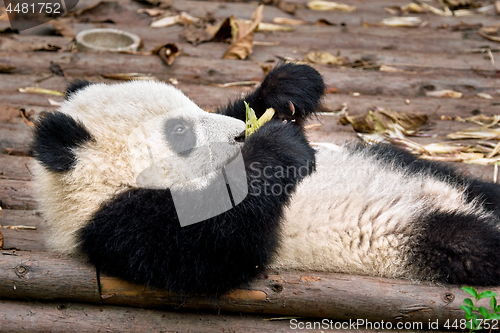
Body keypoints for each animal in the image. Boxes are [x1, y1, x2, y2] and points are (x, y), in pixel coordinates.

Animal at [32, 63, 500, 294]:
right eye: (179, 132)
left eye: (194, 105)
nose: (240, 135)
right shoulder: (114, 225)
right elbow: (210, 249)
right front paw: (275, 147)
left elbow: (250, 105)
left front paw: (286, 90)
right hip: (407, 237)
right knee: (469, 243)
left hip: (422, 170)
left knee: (480, 189)